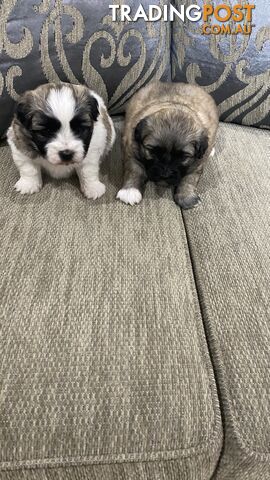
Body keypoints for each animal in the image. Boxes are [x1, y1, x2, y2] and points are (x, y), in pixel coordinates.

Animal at [117, 81, 218, 209]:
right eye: (153, 152)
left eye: (183, 157)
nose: (165, 174)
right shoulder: (131, 150)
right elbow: (134, 170)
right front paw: (130, 191)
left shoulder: (198, 163)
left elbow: (189, 179)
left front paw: (187, 197)